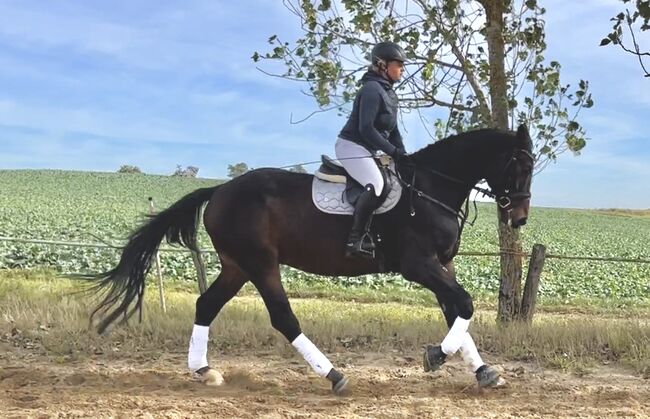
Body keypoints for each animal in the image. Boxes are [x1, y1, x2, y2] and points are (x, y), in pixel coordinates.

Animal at [85, 126, 532, 396]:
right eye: (519, 165)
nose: (519, 218)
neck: (431, 188)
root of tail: (220, 190)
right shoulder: (419, 265)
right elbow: (466, 304)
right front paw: (436, 356)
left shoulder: (443, 265)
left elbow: (457, 310)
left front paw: (483, 371)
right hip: (261, 264)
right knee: (284, 318)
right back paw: (334, 375)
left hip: (236, 266)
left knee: (206, 305)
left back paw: (204, 370)